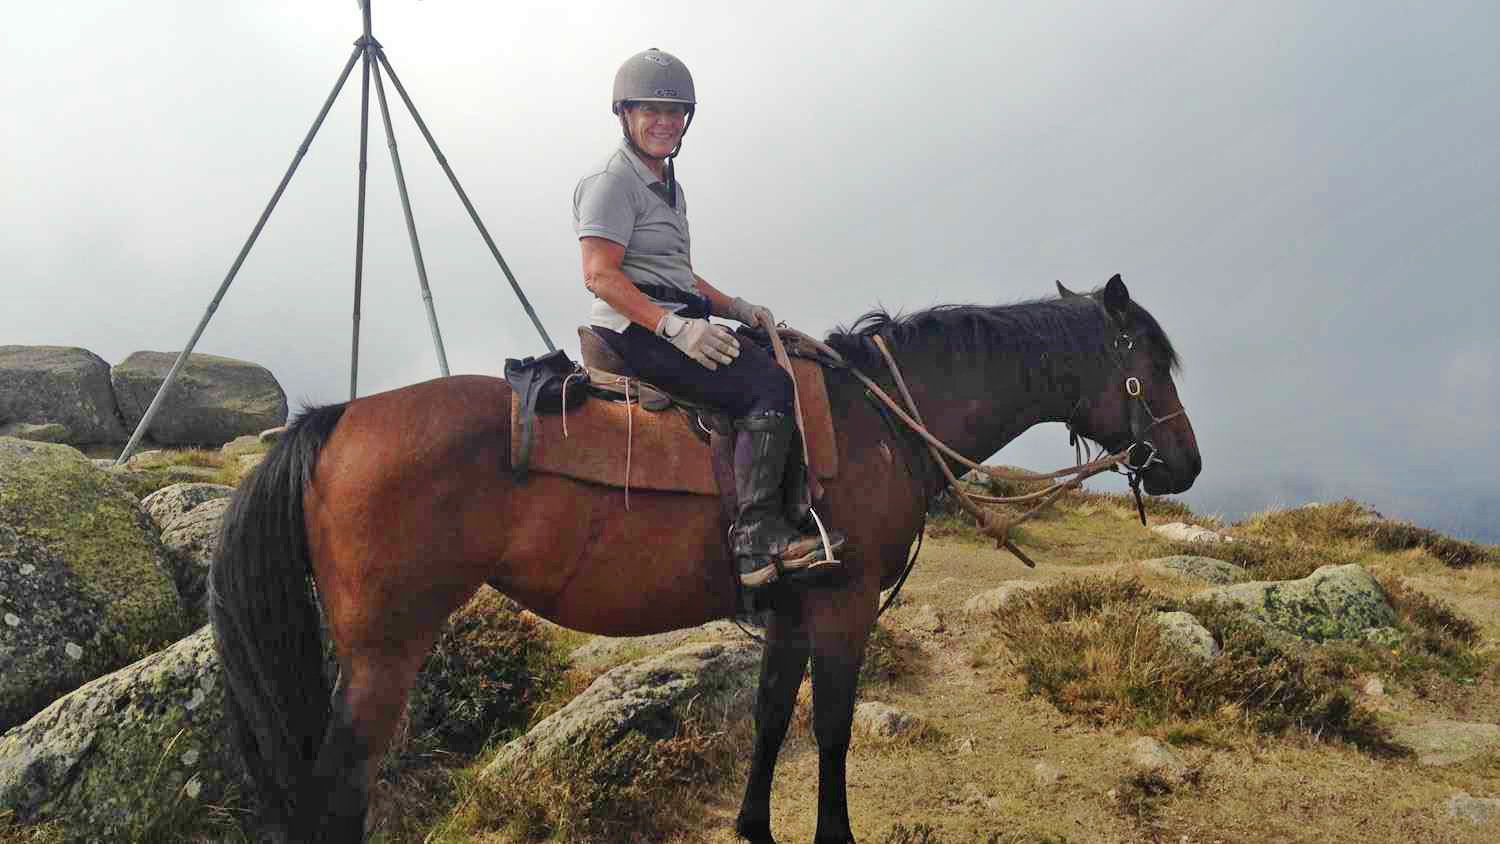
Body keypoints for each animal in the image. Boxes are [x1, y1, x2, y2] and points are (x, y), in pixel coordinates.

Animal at [209, 273, 1200, 843]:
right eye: (1150, 357)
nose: (1186, 464)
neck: (878, 419)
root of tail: (333, 420)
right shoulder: (843, 606)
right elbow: (830, 730)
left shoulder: (792, 608)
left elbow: (769, 718)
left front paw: (754, 829)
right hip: (386, 652)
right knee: (337, 794)